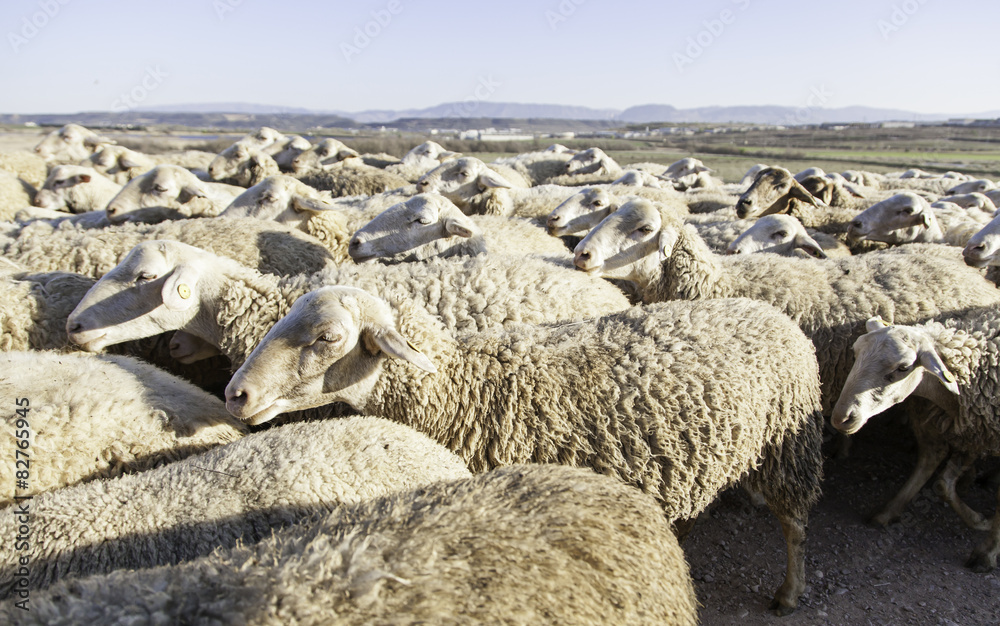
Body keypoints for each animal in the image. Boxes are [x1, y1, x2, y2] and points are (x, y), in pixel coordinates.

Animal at [225, 287, 823, 614]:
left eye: (327, 338)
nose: (237, 394)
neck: (460, 386)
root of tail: (767, 310)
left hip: (788, 445)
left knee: (794, 526)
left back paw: (789, 592)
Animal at [832, 313, 1000, 572]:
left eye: (903, 368)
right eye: (856, 351)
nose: (842, 417)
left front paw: (986, 552)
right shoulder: (969, 432)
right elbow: (940, 480)